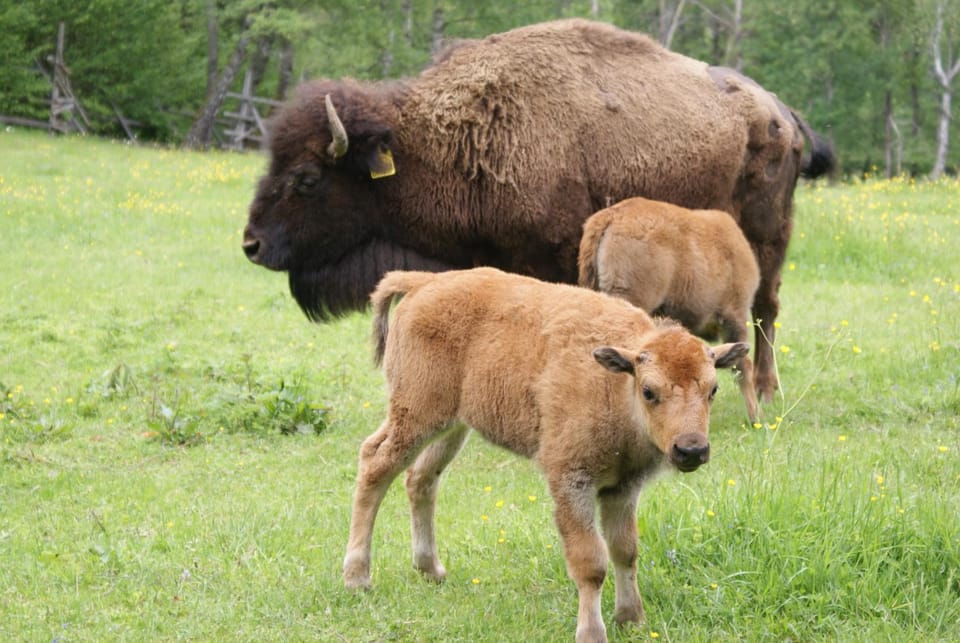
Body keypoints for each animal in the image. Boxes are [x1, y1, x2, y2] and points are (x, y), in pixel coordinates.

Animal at [242, 18, 835, 401]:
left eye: (307, 178)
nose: (251, 244)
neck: (455, 136)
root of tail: (780, 109)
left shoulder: (551, 253)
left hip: (769, 234)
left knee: (766, 307)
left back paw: (766, 390)